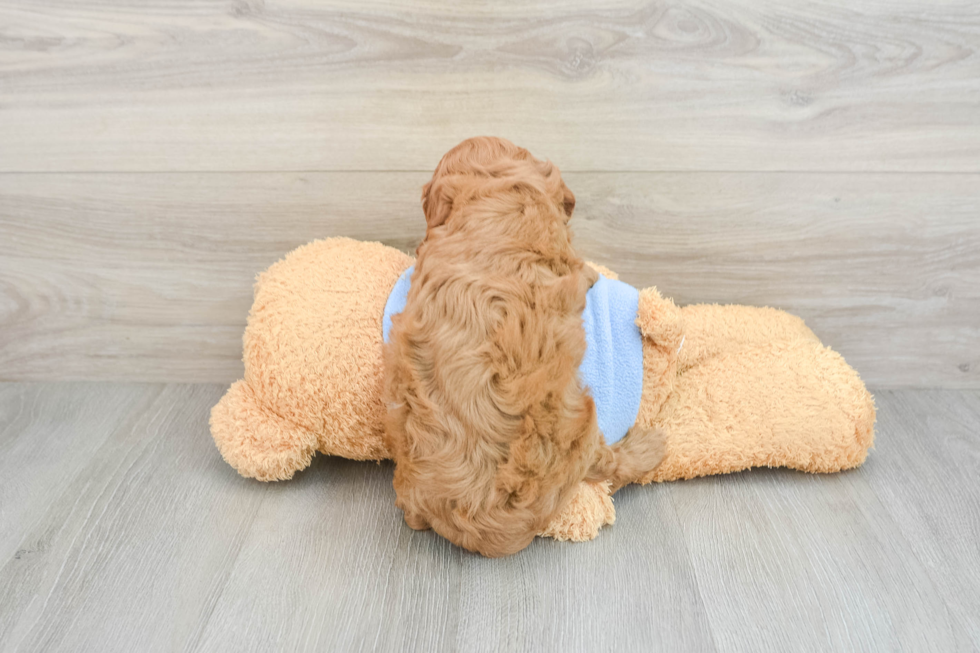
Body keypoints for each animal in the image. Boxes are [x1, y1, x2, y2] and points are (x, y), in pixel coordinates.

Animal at [382, 138, 660, 556]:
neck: (493, 189)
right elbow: (578, 268)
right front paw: (592, 275)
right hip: (581, 428)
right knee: (608, 465)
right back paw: (648, 448)